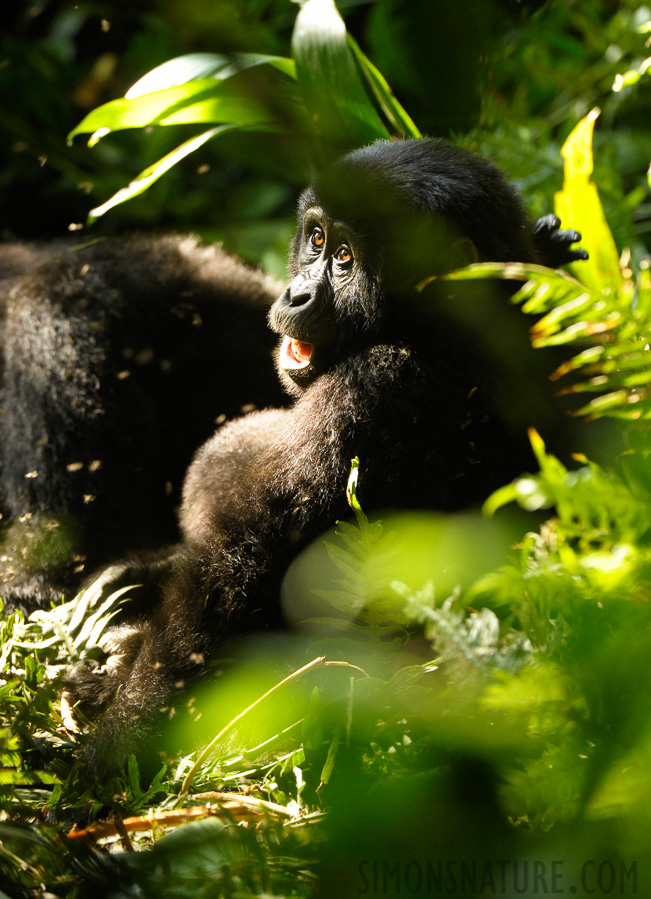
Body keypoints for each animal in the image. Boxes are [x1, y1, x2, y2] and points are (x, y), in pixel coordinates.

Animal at [59, 137, 584, 776]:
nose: (296, 294)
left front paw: (120, 740)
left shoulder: (372, 385)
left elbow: (234, 568)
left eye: (346, 258)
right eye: (314, 240)